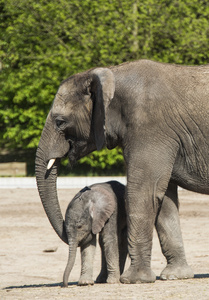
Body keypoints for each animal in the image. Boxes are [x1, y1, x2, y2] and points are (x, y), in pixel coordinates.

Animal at [36, 59, 207, 284]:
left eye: (60, 122)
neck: (111, 75)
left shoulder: (149, 127)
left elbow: (143, 193)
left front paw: (134, 280)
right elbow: (164, 198)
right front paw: (175, 276)